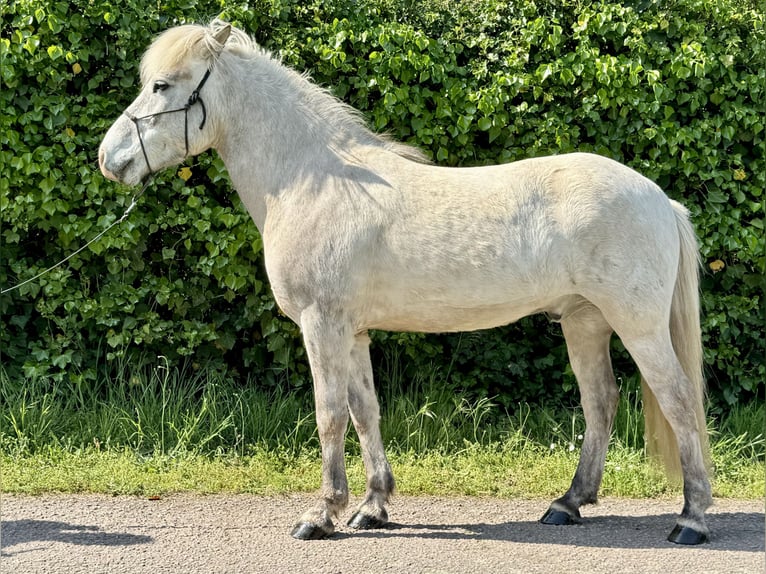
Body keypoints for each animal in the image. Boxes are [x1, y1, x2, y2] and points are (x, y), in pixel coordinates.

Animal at [100, 20, 712, 548]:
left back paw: (692, 519)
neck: (313, 181)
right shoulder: (352, 333)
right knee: (601, 401)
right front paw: (373, 507)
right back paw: (568, 503)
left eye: (161, 84)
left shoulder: (322, 325)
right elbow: (364, 411)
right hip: (585, 322)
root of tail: (660, 199)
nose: (110, 159)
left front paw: (321, 514)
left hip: (638, 325)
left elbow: (328, 413)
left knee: (680, 399)